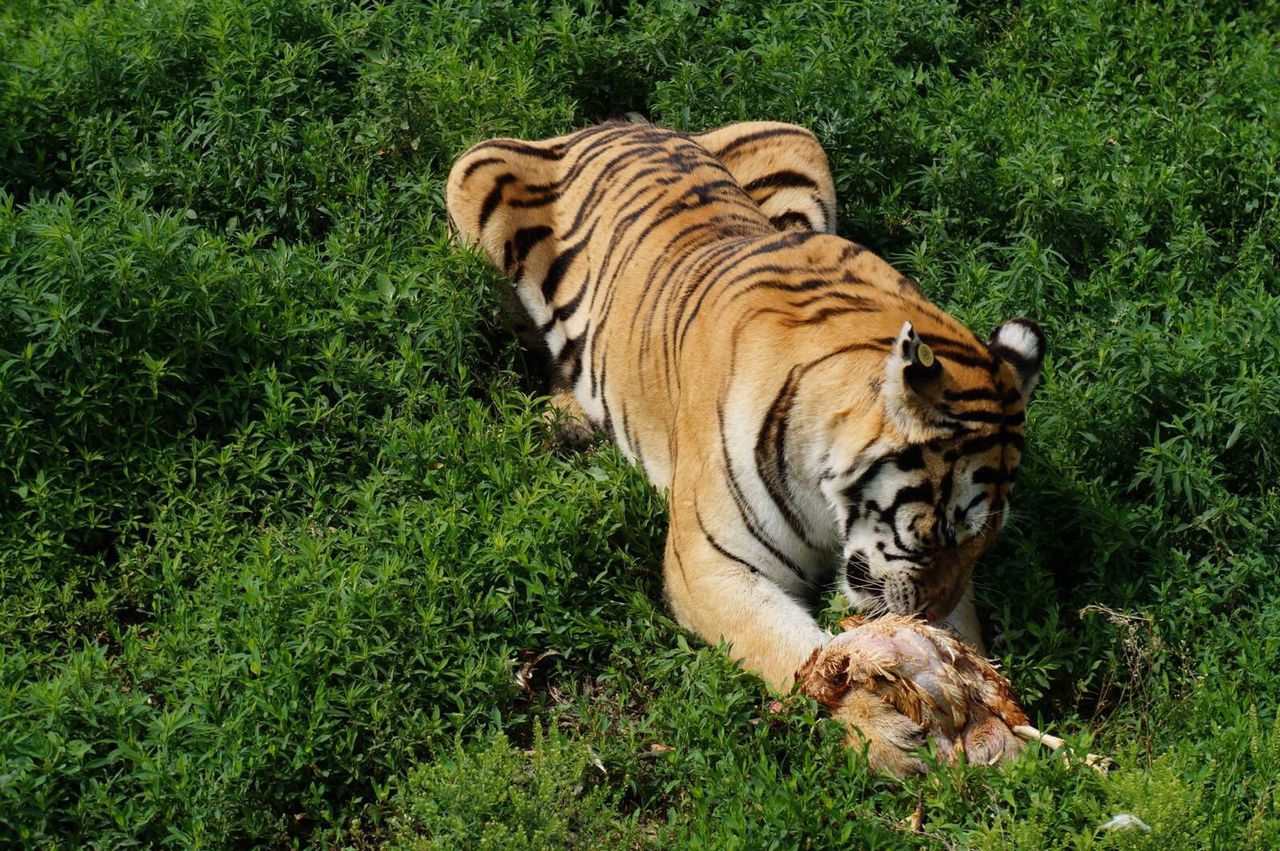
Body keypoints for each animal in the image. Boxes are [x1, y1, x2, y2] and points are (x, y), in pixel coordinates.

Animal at [445, 118, 1044, 775]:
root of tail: (611, 125)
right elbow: (799, 652)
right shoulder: (710, 566)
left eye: (982, 544)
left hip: (799, 145)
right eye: (944, 531)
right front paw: (883, 728)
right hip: (471, 176)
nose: (929, 618)